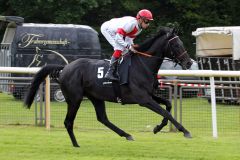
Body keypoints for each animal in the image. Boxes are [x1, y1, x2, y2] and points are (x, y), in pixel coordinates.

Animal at [24, 26, 193, 147]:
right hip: (74, 99)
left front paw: (158, 128)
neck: (143, 65)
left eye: (181, 43)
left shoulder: (150, 95)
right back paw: (76, 144)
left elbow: (168, 106)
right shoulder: (143, 99)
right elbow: (166, 112)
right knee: (68, 122)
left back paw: (126, 135)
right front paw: (185, 131)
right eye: (176, 45)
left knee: (102, 118)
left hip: (96, 97)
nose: (189, 63)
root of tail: (65, 68)